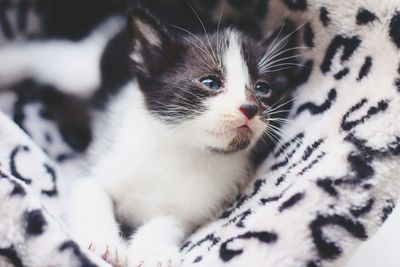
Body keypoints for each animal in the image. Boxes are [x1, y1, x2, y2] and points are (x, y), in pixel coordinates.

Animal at [65, 6, 294, 267]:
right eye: (210, 82)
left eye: (262, 88)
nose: (250, 108)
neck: (181, 147)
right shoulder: (103, 159)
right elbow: (90, 193)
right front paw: (103, 243)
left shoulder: (193, 208)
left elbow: (167, 222)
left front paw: (153, 253)